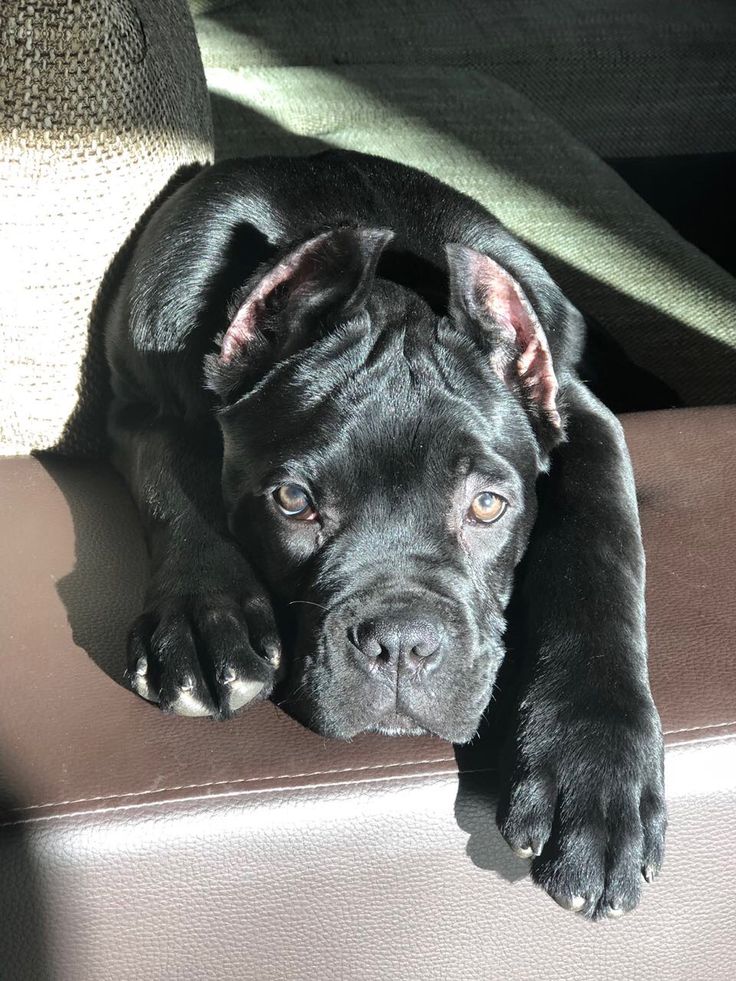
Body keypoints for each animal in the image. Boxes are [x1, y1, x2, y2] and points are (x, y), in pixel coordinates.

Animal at [108, 149, 668, 916]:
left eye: (487, 506)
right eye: (293, 501)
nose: (401, 644)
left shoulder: (585, 419)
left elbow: (601, 550)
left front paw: (598, 772)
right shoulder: (147, 403)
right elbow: (173, 472)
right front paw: (203, 617)